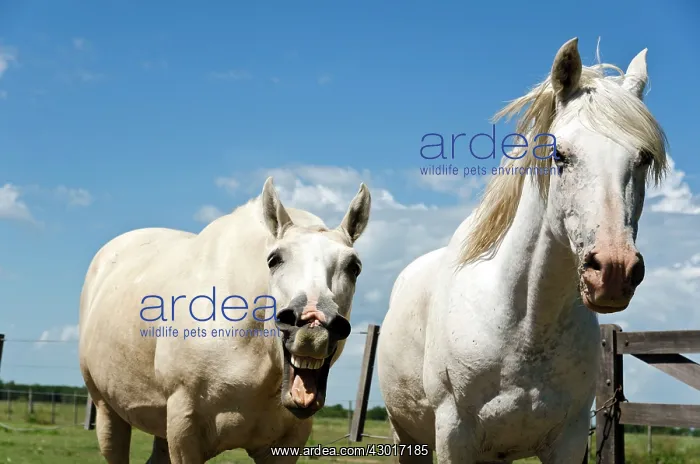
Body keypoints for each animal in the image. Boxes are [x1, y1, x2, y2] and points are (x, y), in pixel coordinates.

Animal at [78, 177, 372, 463]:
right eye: (274, 260)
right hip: (107, 411)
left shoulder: (286, 443)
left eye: (354, 267)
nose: (313, 324)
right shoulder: (184, 431)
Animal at [377, 37, 668, 463]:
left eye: (644, 158)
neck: (525, 326)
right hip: (406, 438)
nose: (614, 271)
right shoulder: (453, 436)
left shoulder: (569, 440)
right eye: (560, 155)